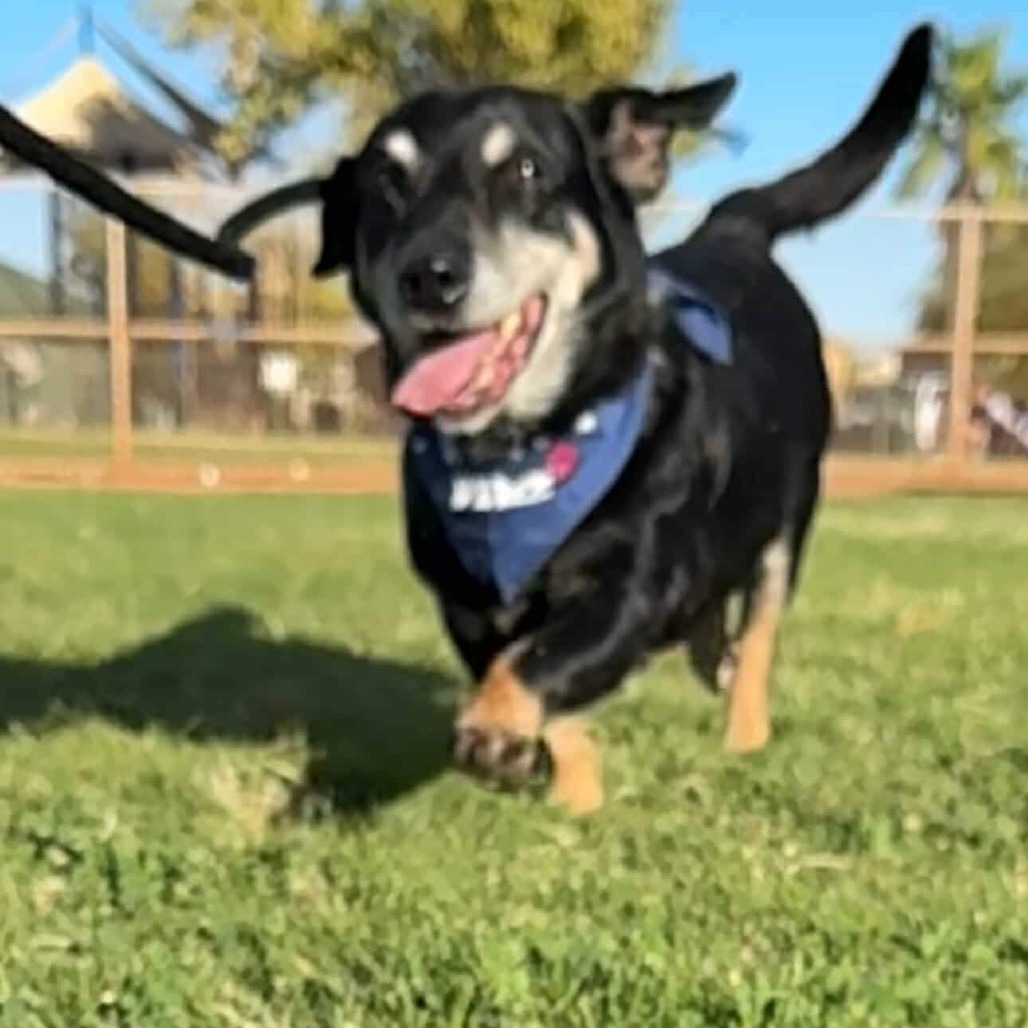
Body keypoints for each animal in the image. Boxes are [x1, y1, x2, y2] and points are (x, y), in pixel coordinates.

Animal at [0, 24, 933, 814]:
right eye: (386, 181)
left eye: (524, 172)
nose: (430, 274)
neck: (519, 452)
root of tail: (732, 230)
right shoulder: (466, 601)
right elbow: (533, 678)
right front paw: (562, 780)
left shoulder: (632, 583)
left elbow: (544, 659)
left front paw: (498, 730)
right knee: (712, 631)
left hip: (784, 522)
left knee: (758, 632)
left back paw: (744, 730)